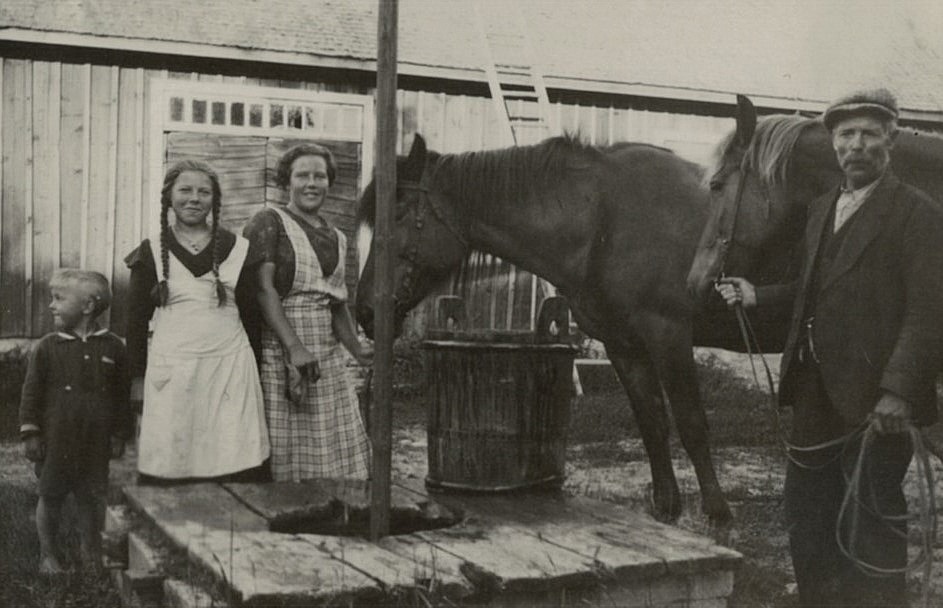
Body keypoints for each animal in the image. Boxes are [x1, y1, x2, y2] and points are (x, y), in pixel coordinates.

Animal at [354, 135, 744, 524]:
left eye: (398, 214)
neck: (606, 219)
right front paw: (667, 509)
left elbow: (692, 424)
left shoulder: (669, 336)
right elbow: (652, 423)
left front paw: (718, 514)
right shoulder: (625, 346)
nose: (366, 310)